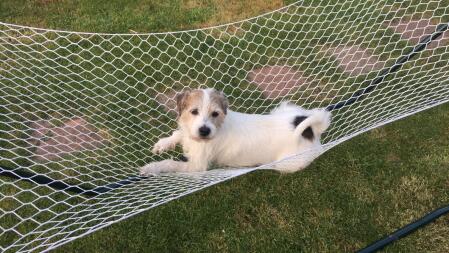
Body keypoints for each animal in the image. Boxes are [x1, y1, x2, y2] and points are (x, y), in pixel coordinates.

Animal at [138, 88, 330, 175]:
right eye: (194, 111)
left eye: (215, 113)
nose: (204, 131)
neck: (218, 126)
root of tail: (311, 131)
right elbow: (179, 134)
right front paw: (163, 144)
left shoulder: (196, 166)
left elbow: (170, 163)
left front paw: (152, 167)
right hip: (283, 109)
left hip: (286, 164)